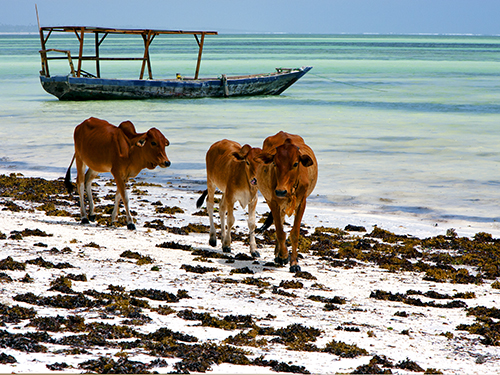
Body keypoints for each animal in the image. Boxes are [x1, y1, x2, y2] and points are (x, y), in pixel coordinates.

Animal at [256, 132, 318, 274]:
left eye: (295, 164)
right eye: (275, 163)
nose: (280, 191)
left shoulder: (302, 203)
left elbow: (294, 233)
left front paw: (294, 263)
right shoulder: (273, 201)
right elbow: (279, 231)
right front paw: (284, 255)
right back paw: (278, 254)